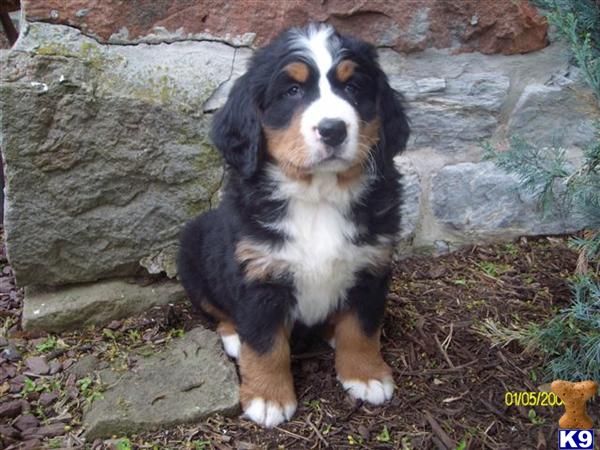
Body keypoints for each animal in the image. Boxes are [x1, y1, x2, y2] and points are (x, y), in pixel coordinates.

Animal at [178, 22, 410, 428]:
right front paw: (268, 398)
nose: (333, 129)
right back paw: (233, 336)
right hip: (192, 251)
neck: (318, 196)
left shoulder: (371, 265)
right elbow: (265, 344)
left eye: (353, 88)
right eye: (292, 91)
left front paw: (365, 374)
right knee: (216, 309)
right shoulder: (259, 274)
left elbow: (363, 327)